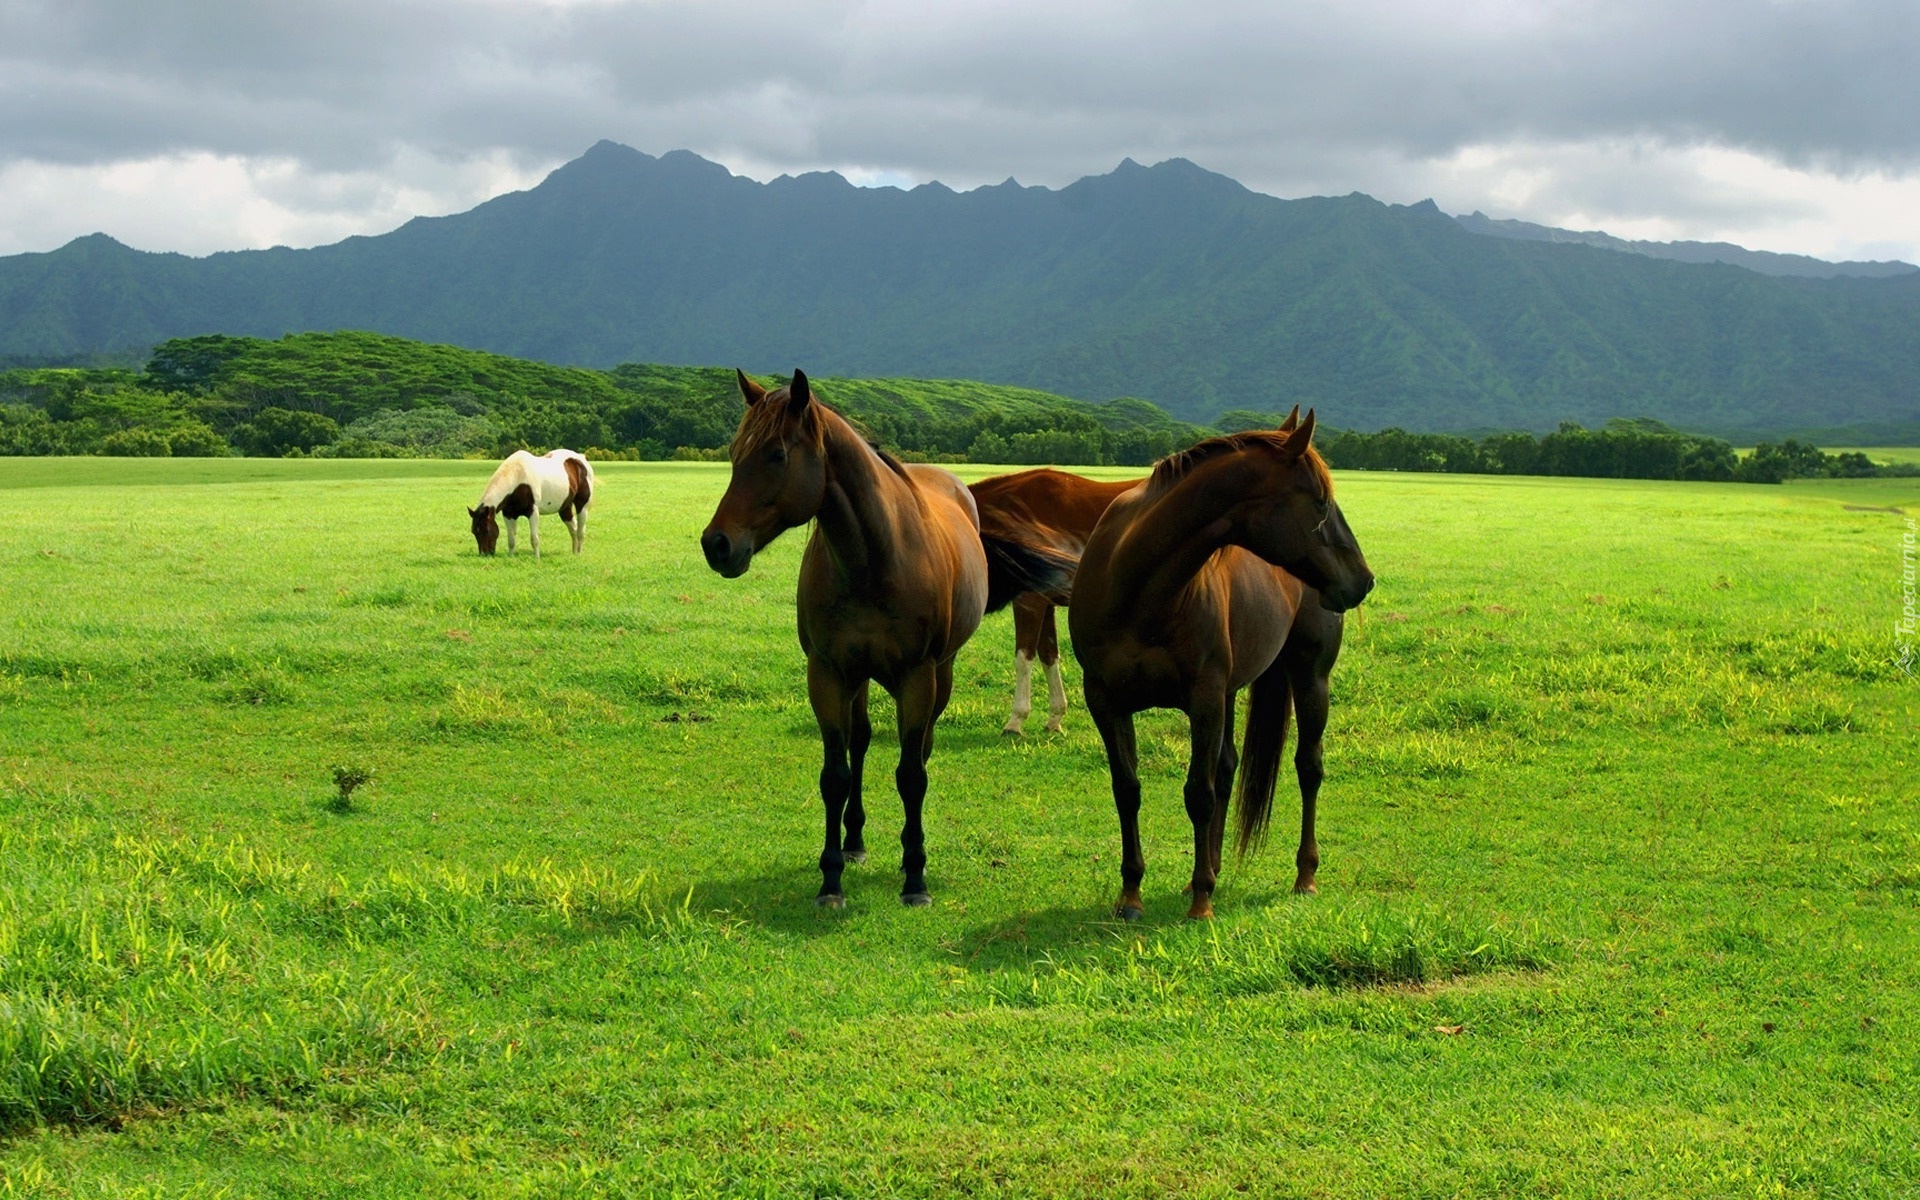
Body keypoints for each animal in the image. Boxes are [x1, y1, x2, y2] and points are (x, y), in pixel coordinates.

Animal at [702, 370, 1075, 902]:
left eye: (775, 454)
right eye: (735, 453)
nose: (716, 544)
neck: (873, 560)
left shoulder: (918, 677)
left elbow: (911, 774)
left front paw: (915, 874)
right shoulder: (828, 674)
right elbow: (835, 775)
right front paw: (831, 876)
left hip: (941, 674)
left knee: (921, 749)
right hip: (858, 678)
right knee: (860, 743)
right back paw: (855, 841)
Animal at [975, 466, 1136, 729]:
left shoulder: (1029, 602)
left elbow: (1024, 658)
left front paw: (1016, 720)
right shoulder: (1046, 604)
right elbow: (1048, 656)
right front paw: (1055, 716)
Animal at [1067, 410, 1382, 917]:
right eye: (1319, 501)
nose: (1364, 580)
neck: (1137, 587)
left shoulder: (1204, 698)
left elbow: (1199, 792)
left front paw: (1201, 901)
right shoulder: (1105, 700)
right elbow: (1127, 790)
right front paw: (1131, 893)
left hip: (1309, 679)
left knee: (1307, 767)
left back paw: (1303, 875)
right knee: (1229, 767)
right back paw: (1211, 868)